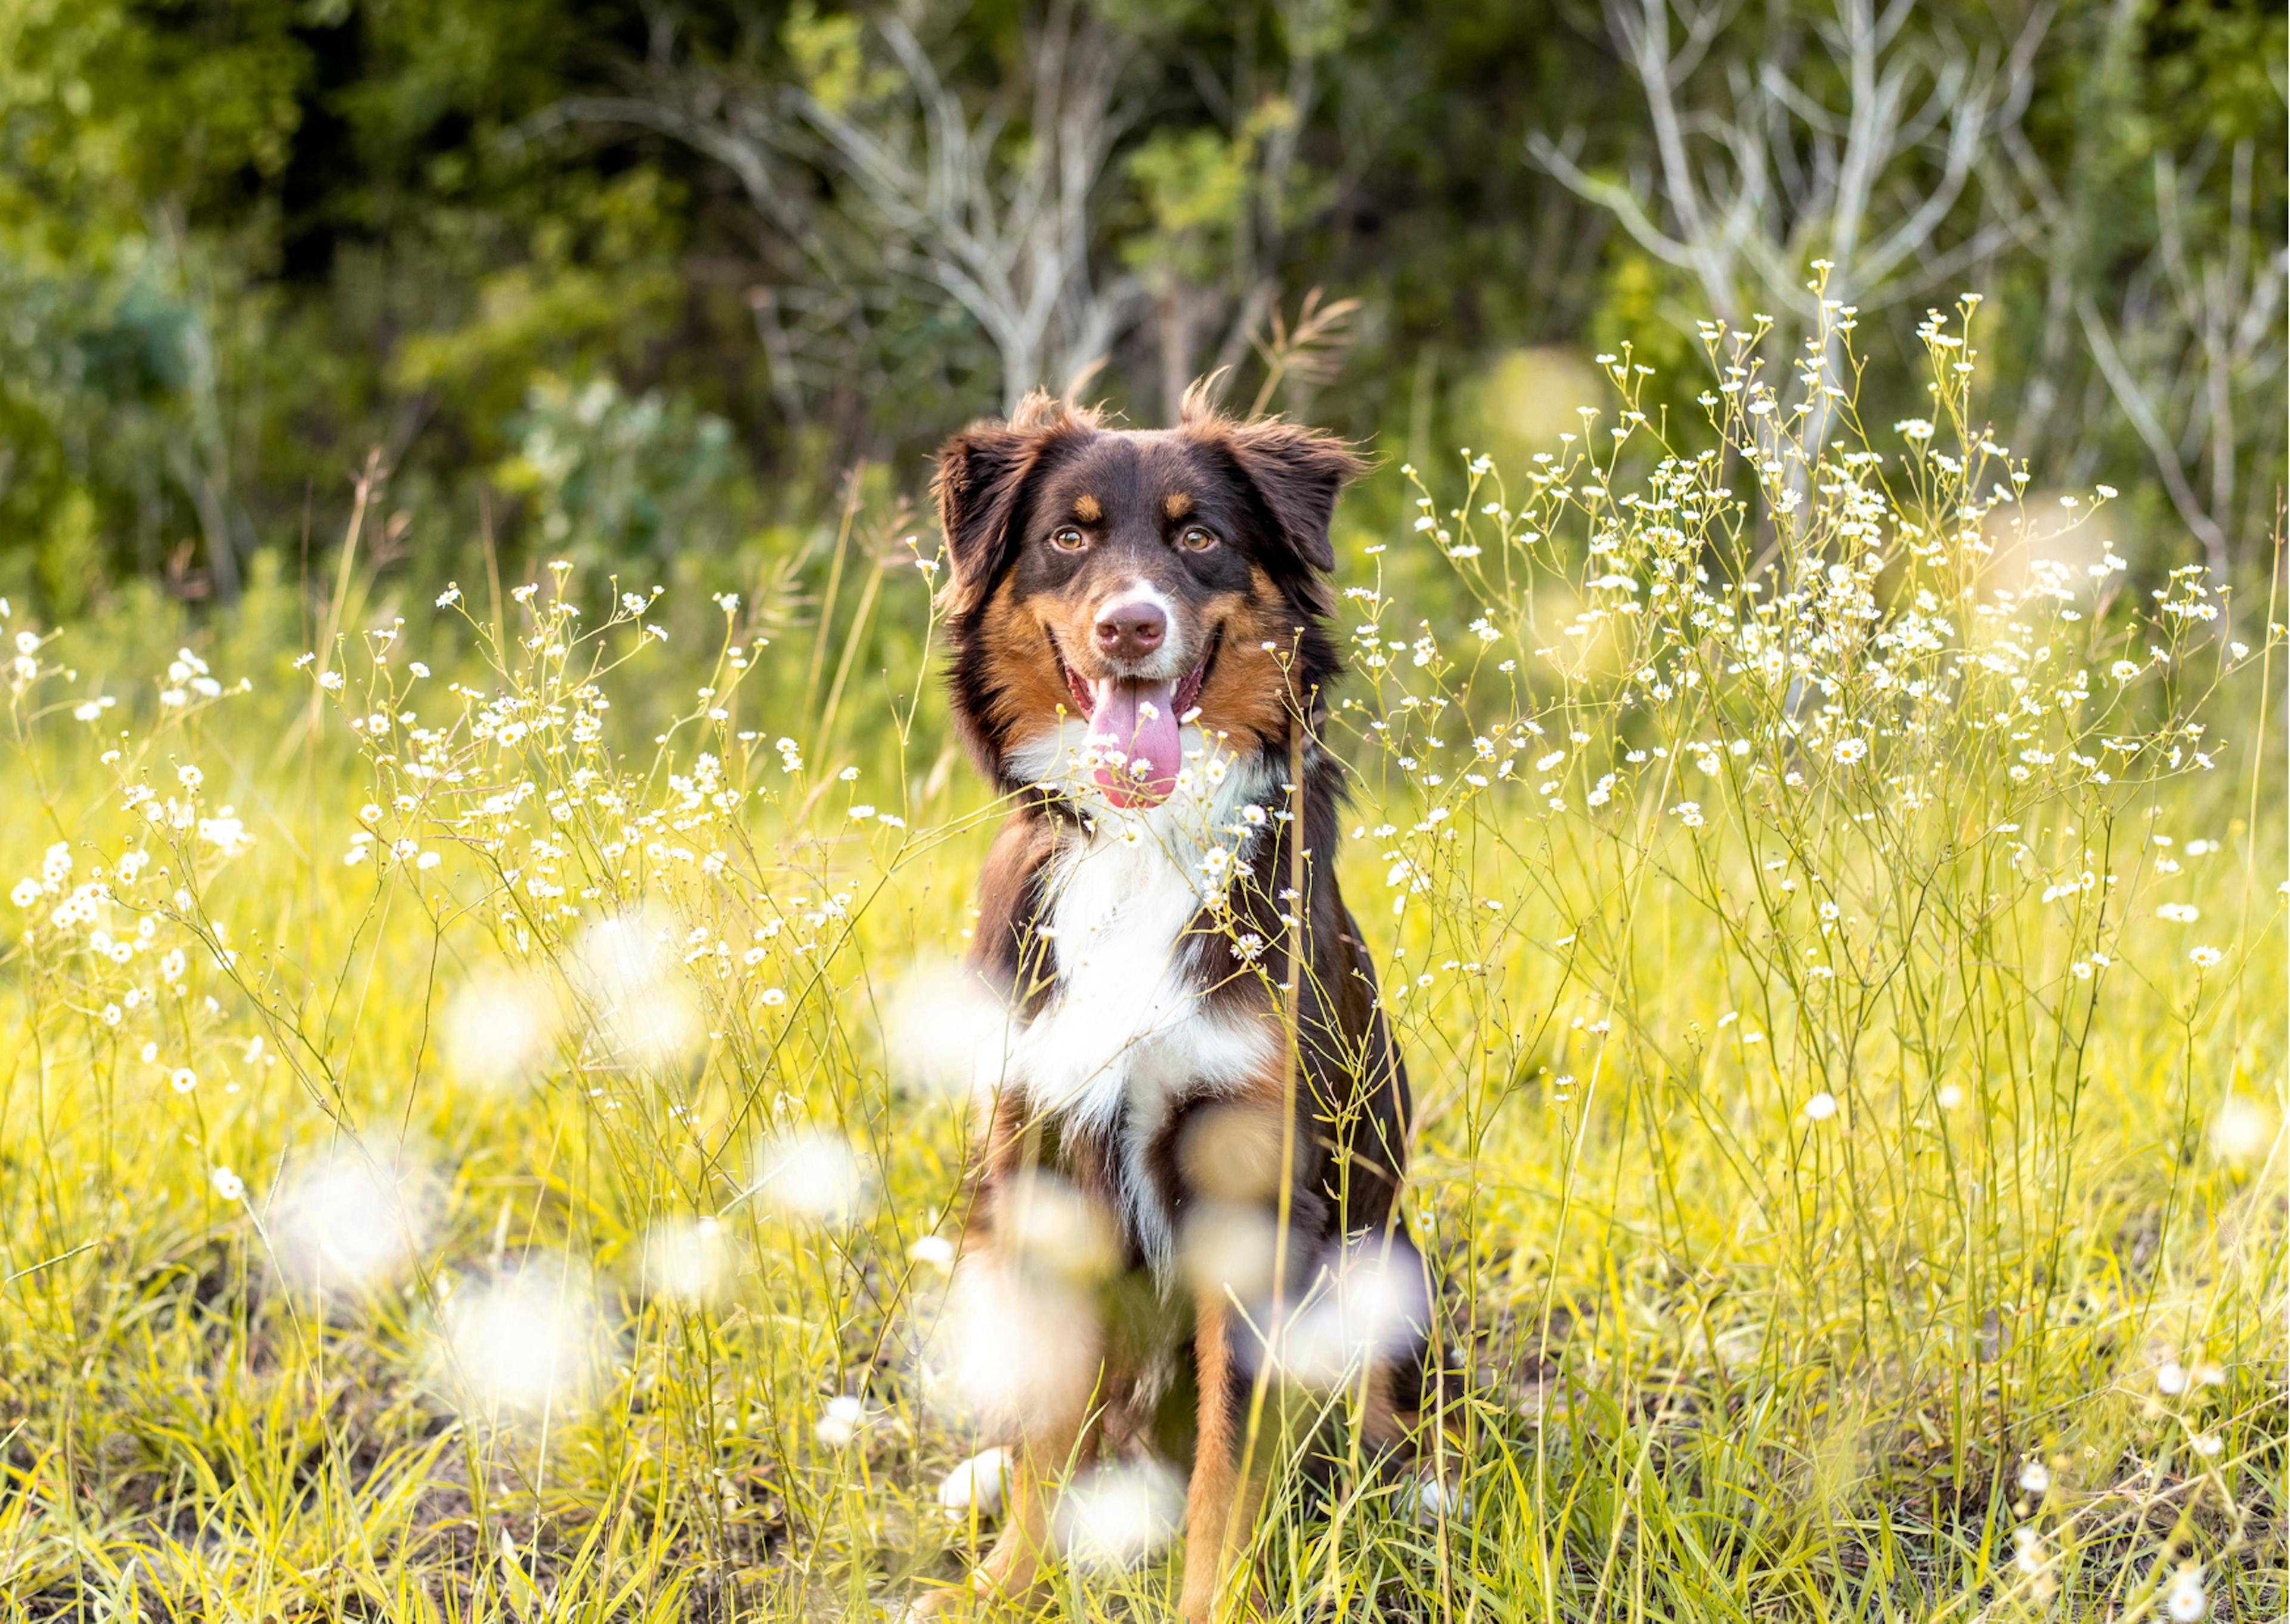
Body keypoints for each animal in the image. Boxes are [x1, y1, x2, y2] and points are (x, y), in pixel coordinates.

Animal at [906, 387, 1410, 1612]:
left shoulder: (1255, 1187)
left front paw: (1214, 1604)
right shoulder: (1040, 1153)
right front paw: (1008, 1584)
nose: (1130, 629)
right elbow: (1049, 1431)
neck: (1140, 842)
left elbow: (1230, 1459)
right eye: (1067, 537)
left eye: (1199, 537)